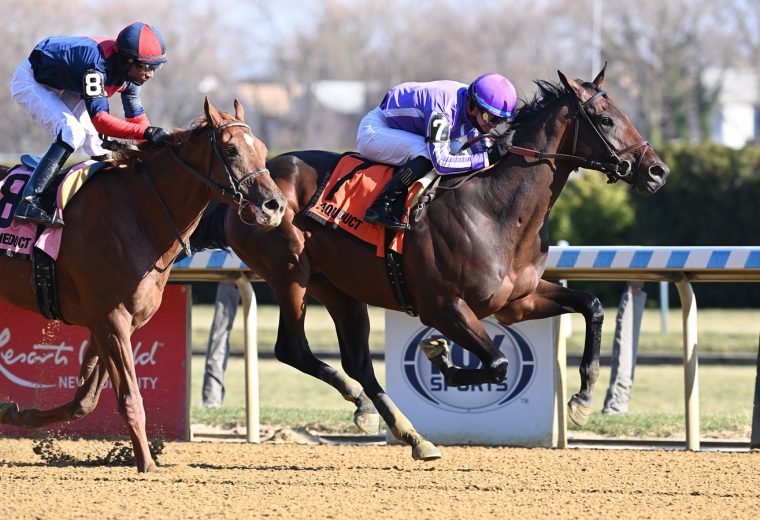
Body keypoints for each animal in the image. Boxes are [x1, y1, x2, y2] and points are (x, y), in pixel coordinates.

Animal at [0, 97, 288, 472]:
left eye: (264, 149)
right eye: (231, 150)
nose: (275, 206)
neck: (137, 213)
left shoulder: (109, 322)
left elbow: (85, 399)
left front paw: (15, 413)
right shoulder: (112, 320)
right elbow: (129, 397)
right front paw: (147, 464)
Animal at [203, 67, 672, 462]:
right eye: (605, 119)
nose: (657, 171)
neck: (495, 208)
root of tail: (250, 186)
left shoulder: (516, 303)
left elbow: (591, 306)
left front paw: (582, 399)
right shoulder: (443, 307)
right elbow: (497, 364)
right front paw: (438, 353)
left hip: (337, 288)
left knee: (357, 361)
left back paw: (403, 430)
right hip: (290, 274)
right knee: (293, 348)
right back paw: (375, 410)